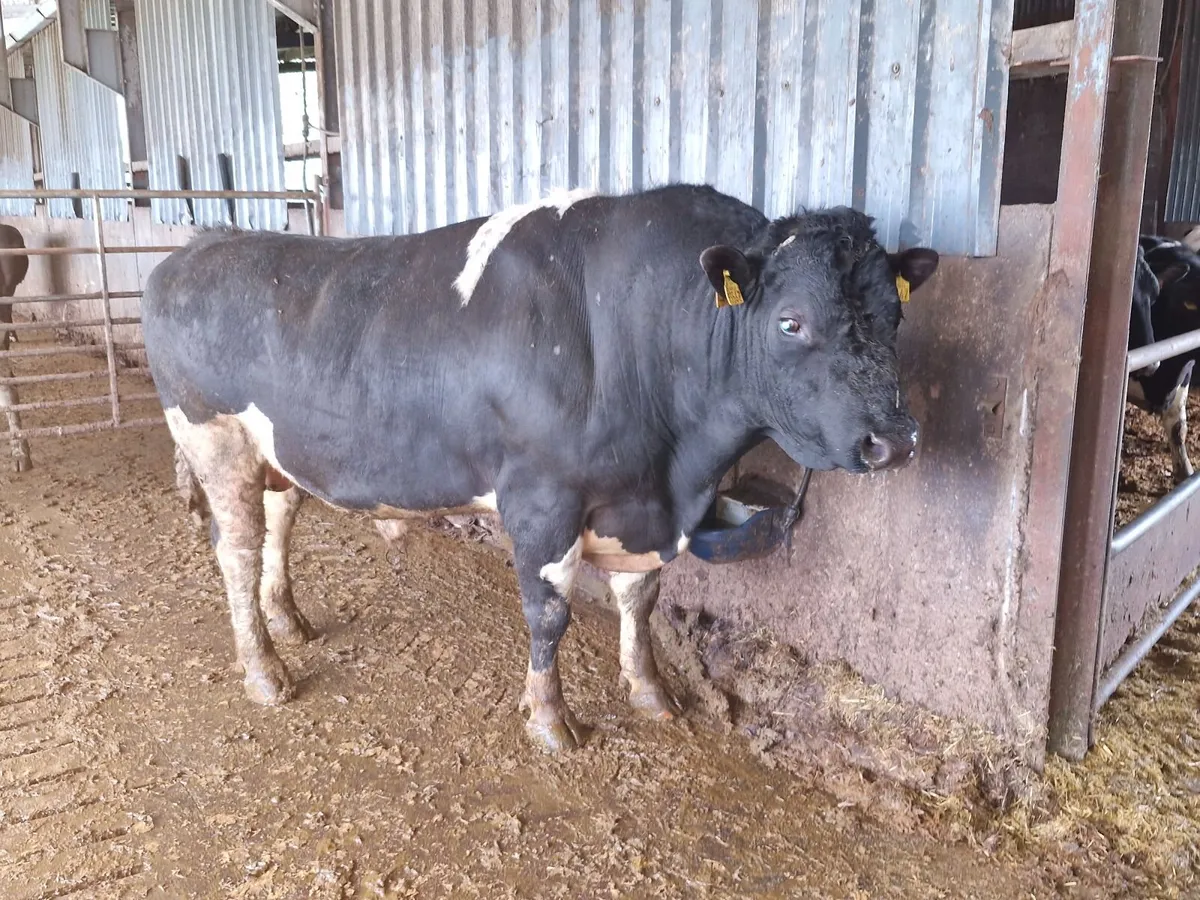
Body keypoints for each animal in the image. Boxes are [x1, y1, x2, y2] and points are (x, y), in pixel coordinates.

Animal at [142, 184, 940, 754]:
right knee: (237, 551)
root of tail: (199, 247)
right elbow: (549, 613)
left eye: (894, 315)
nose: (894, 441)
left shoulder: (637, 503)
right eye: (790, 321)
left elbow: (642, 599)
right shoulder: (541, 498)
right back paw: (264, 669)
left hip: (278, 452)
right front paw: (551, 720)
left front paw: (651, 693)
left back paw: (290, 618)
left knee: (280, 521)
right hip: (213, 442)